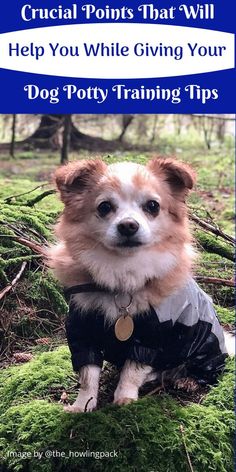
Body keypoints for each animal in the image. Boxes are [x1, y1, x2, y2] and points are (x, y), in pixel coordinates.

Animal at [47, 157, 233, 412]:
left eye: (152, 206)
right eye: (104, 207)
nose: (128, 225)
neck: (122, 276)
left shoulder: (151, 336)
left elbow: (132, 370)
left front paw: (124, 398)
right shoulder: (82, 330)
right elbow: (88, 374)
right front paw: (82, 405)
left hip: (205, 347)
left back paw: (188, 379)